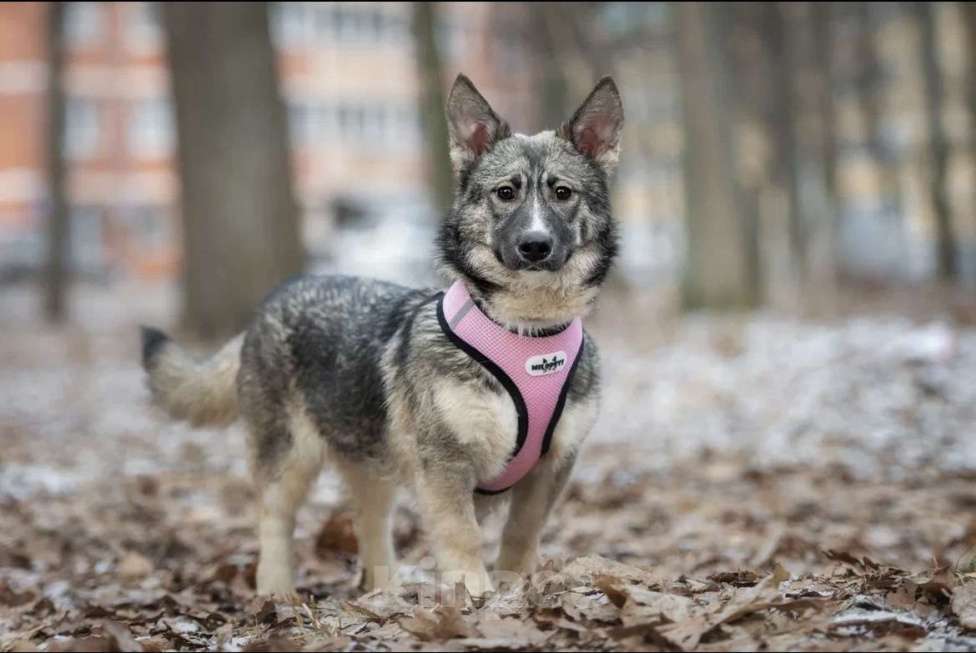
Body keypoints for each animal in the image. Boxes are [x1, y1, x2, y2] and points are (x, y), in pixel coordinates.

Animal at [141, 75, 620, 596]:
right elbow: (463, 536)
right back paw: (277, 592)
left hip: (371, 465)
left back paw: (384, 595)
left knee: (370, 527)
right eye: (506, 192)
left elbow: (522, 532)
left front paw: (515, 591)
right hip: (288, 458)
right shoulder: (445, 466)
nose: (535, 246)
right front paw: (474, 596)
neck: (524, 332)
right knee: (273, 521)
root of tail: (273, 300)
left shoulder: (552, 465)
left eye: (562, 192)